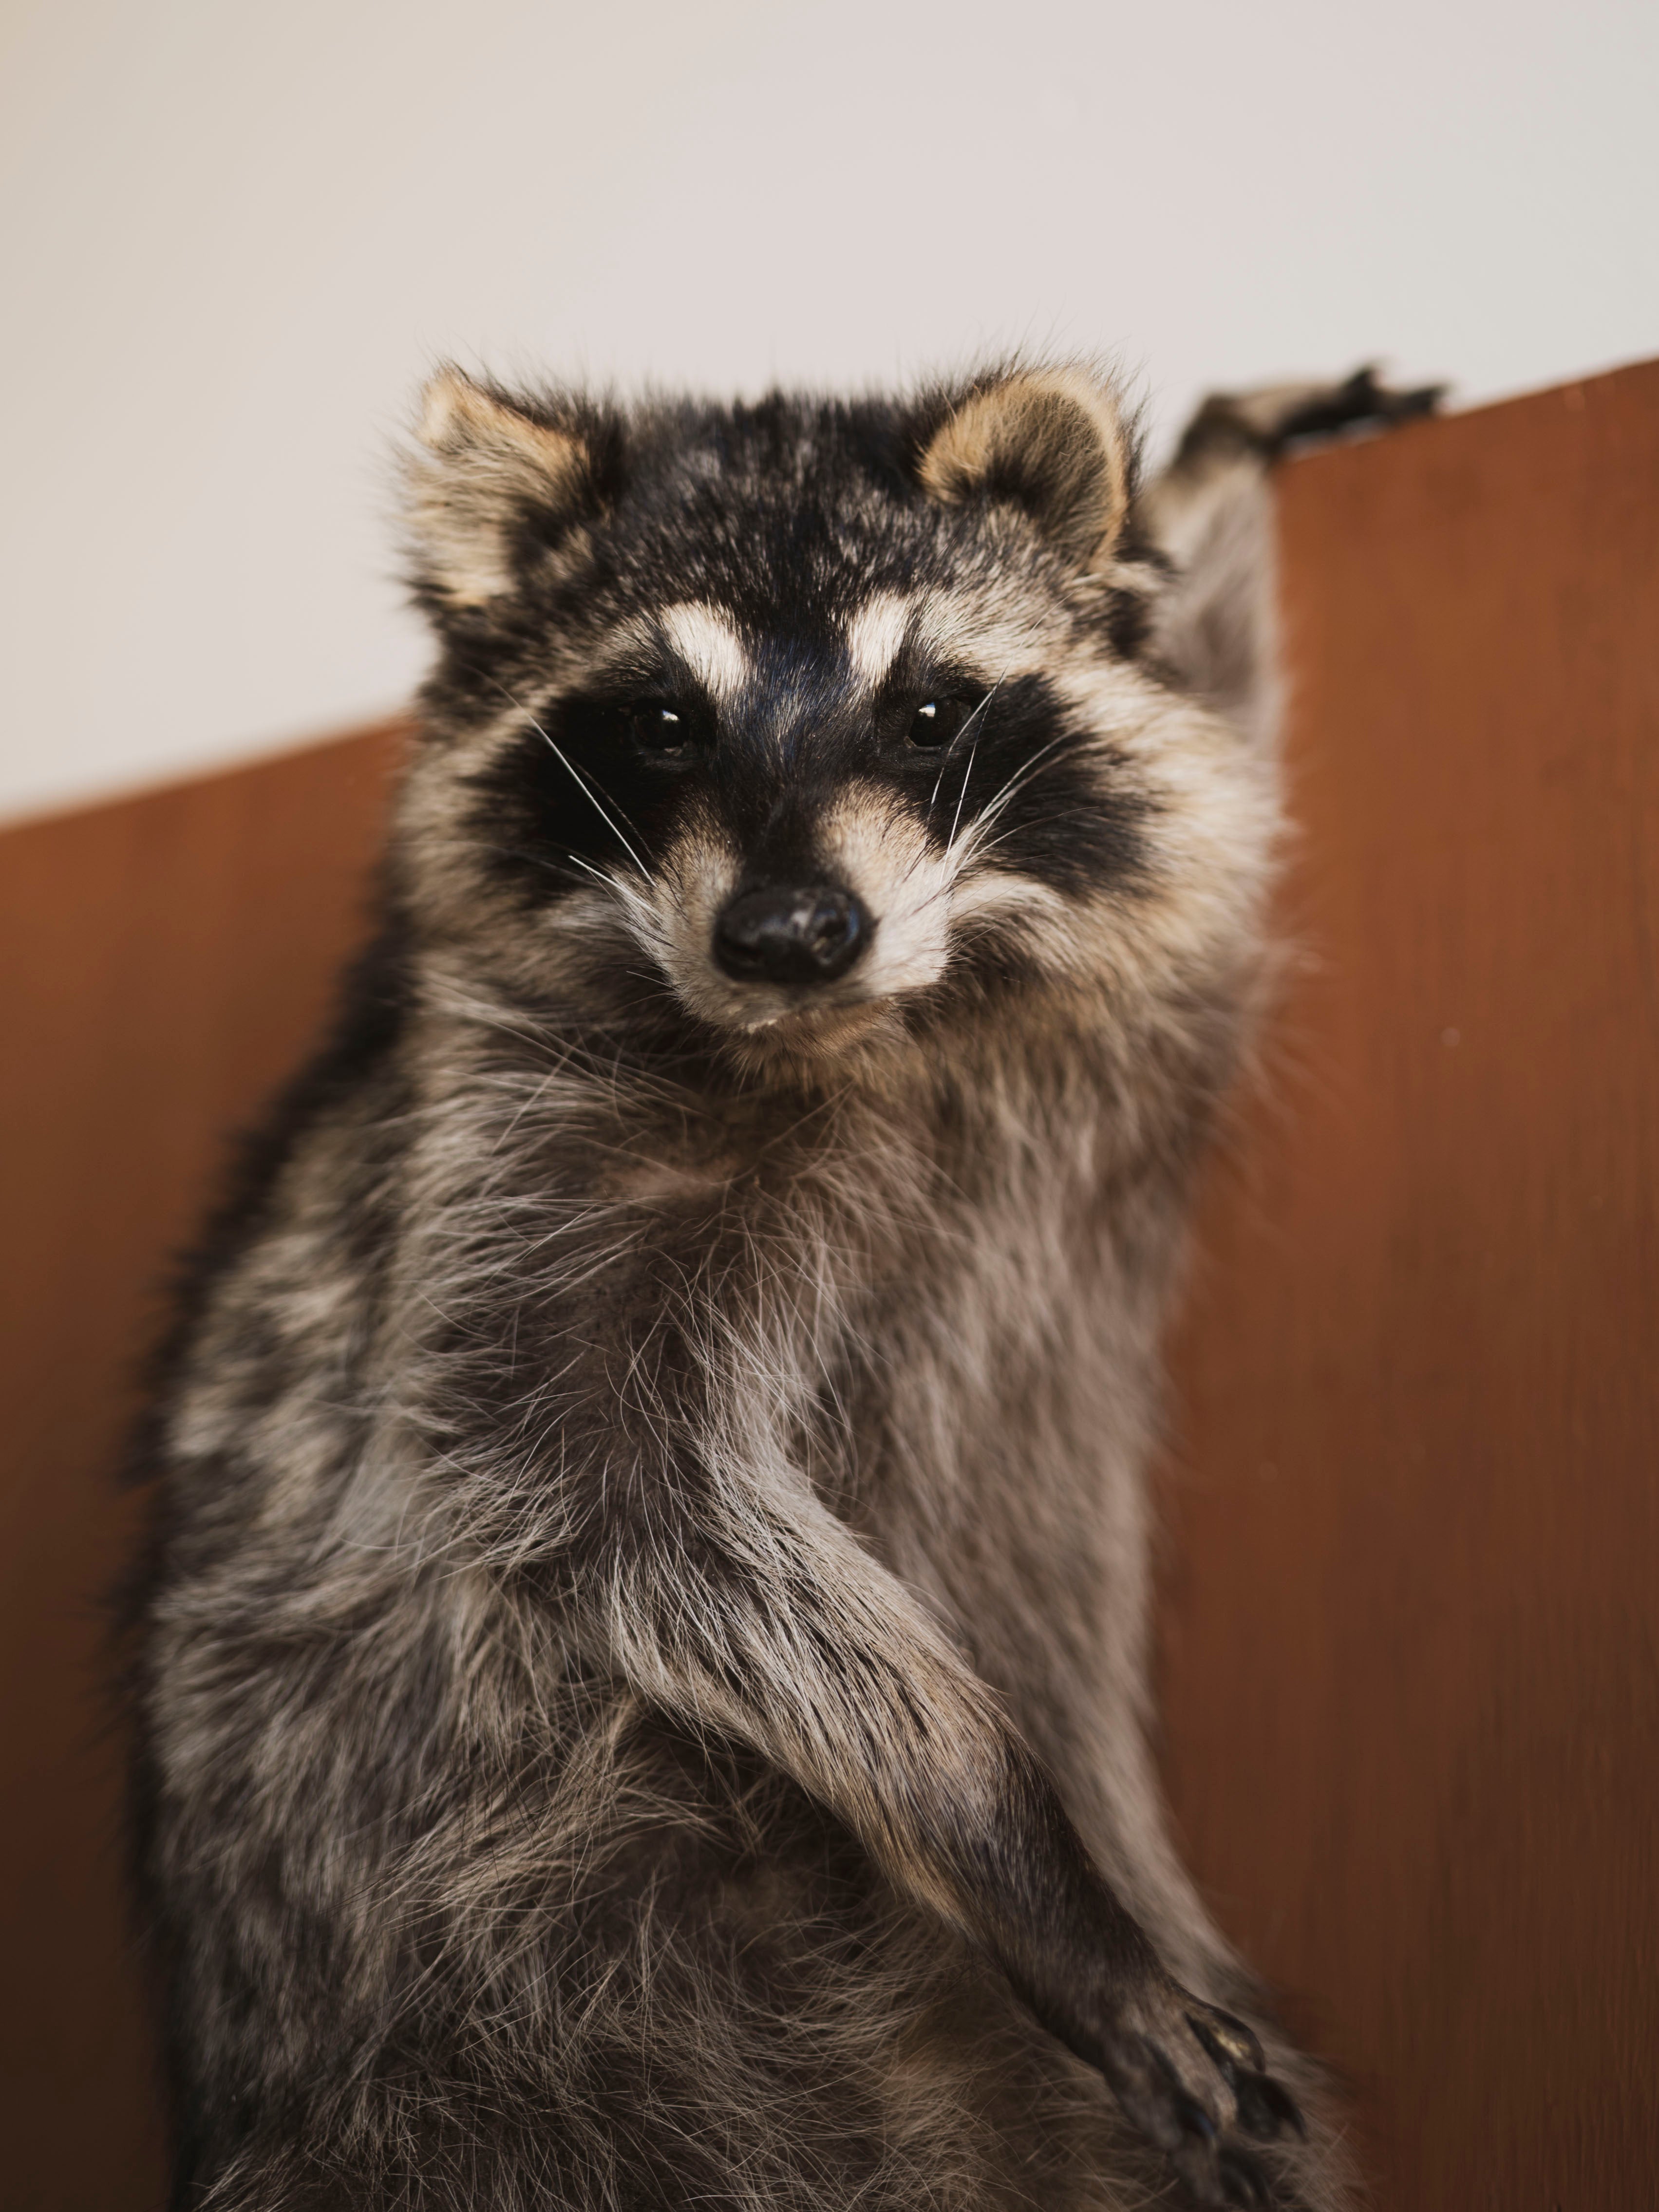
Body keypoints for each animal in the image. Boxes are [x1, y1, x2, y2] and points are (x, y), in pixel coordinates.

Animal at [128, 361, 1434, 2212]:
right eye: (663, 721)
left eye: (930, 709)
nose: (791, 933)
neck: (862, 1030)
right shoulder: (495, 1169)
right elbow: (598, 1478)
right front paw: (1001, 1825)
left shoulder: (1115, 1037)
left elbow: (1219, 760)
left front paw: (1204, 483)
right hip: (472, 2062)